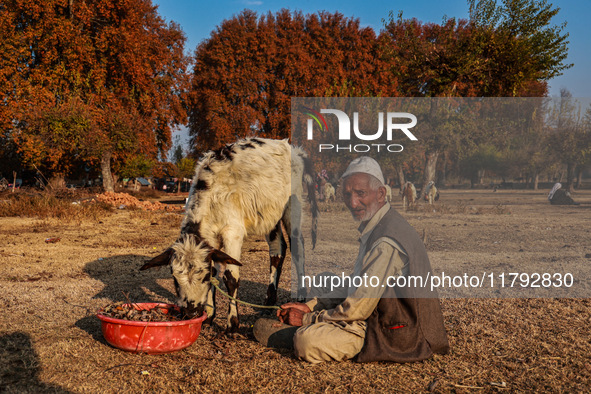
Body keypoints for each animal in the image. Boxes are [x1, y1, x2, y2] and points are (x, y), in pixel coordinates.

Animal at [140, 139, 320, 332]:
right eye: (174, 278)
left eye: (203, 277)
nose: (191, 312)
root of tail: (294, 150)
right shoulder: (211, 241)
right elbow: (215, 272)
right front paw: (209, 317)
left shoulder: (232, 233)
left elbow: (230, 277)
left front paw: (232, 323)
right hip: (270, 215)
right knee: (277, 250)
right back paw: (269, 301)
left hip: (292, 206)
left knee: (297, 246)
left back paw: (300, 296)